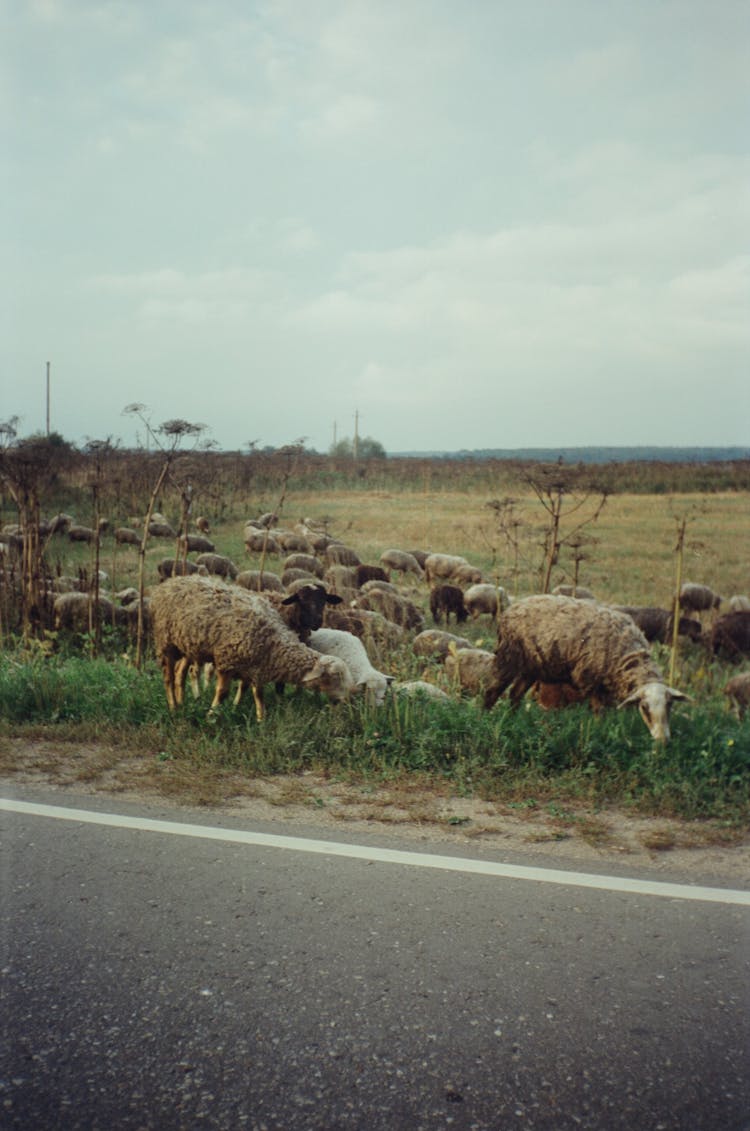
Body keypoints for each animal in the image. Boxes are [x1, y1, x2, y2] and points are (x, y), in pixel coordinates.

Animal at [151, 579, 357, 719]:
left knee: (180, 672)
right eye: (302, 600)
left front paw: (259, 716)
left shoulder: (257, 665)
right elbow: (227, 691)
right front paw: (213, 715)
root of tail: (172, 582)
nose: (349, 700)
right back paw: (174, 707)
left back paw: (183, 701)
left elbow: (257, 691)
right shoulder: (229, 660)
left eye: (324, 601)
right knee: (169, 677)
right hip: (166, 642)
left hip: (188, 645)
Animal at [484, 592, 687, 741]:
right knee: (493, 689)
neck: (628, 655)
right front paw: (599, 732)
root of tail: (510, 610)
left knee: (515, 694)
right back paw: (484, 717)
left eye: (670, 705)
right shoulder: (592, 680)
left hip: (531, 666)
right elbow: (599, 712)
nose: (663, 740)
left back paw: (511, 720)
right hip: (509, 656)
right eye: (644, 707)